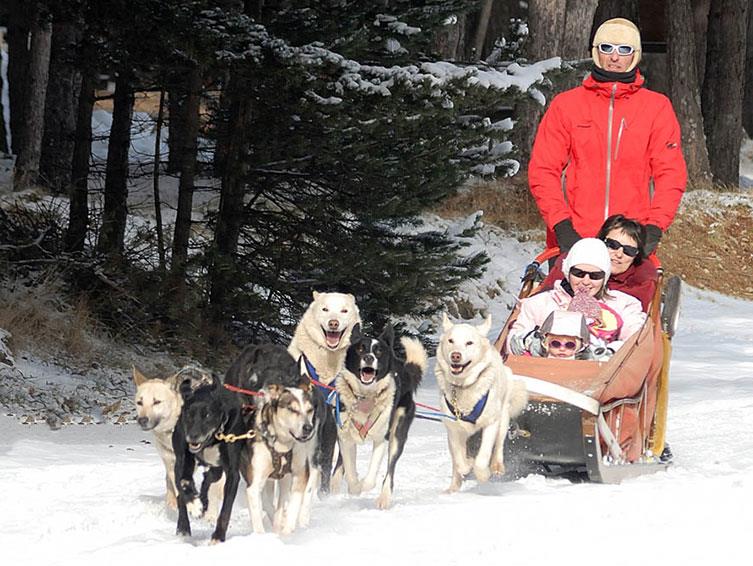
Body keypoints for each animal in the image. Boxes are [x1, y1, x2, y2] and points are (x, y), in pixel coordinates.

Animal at [172, 374, 245, 544]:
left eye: (207, 415)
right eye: (188, 414)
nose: (192, 436)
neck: (213, 439)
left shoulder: (232, 473)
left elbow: (226, 511)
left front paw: (218, 536)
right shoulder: (184, 459)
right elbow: (184, 483)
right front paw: (194, 505)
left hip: (217, 469)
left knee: (208, 479)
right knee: (181, 492)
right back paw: (184, 527)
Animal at [434, 316, 528, 492]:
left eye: (469, 342)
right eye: (451, 340)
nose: (455, 356)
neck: (463, 387)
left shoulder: (491, 423)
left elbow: (483, 456)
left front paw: (482, 474)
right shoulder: (453, 429)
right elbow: (460, 461)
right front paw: (467, 465)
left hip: (503, 420)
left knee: (498, 446)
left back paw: (496, 466)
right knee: (456, 462)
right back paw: (453, 488)